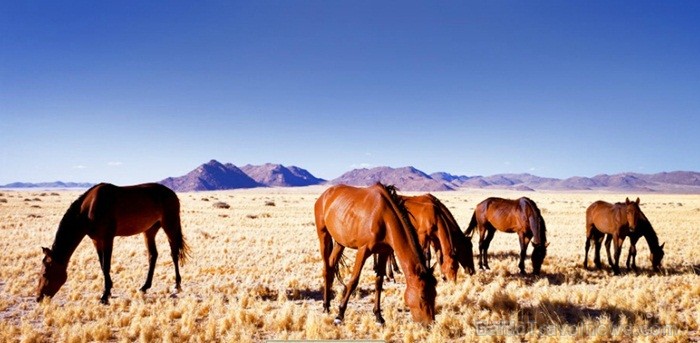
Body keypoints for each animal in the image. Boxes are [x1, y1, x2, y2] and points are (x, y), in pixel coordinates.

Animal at [35, 184, 189, 306]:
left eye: (45, 273)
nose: (38, 297)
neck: (89, 208)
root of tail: (172, 193)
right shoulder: (96, 240)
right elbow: (102, 265)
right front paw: (107, 292)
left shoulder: (108, 238)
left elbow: (106, 265)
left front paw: (105, 296)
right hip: (150, 230)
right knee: (153, 255)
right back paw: (144, 287)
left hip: (170, 225)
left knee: (174, 253)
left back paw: (177, 286)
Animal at [314, 183, 434, 326]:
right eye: (422, 296)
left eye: (434, 294)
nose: (430, 323)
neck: (384, 217)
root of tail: (325, 195)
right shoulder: (363, 250)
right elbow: (354, 281)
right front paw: (340, 314)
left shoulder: (383, 252)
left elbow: (379, 282)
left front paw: (378, 316)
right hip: (324, 235)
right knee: (326, 269)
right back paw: (326, 307)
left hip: (339, 242)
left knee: (331, 266)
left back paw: (327, 304)